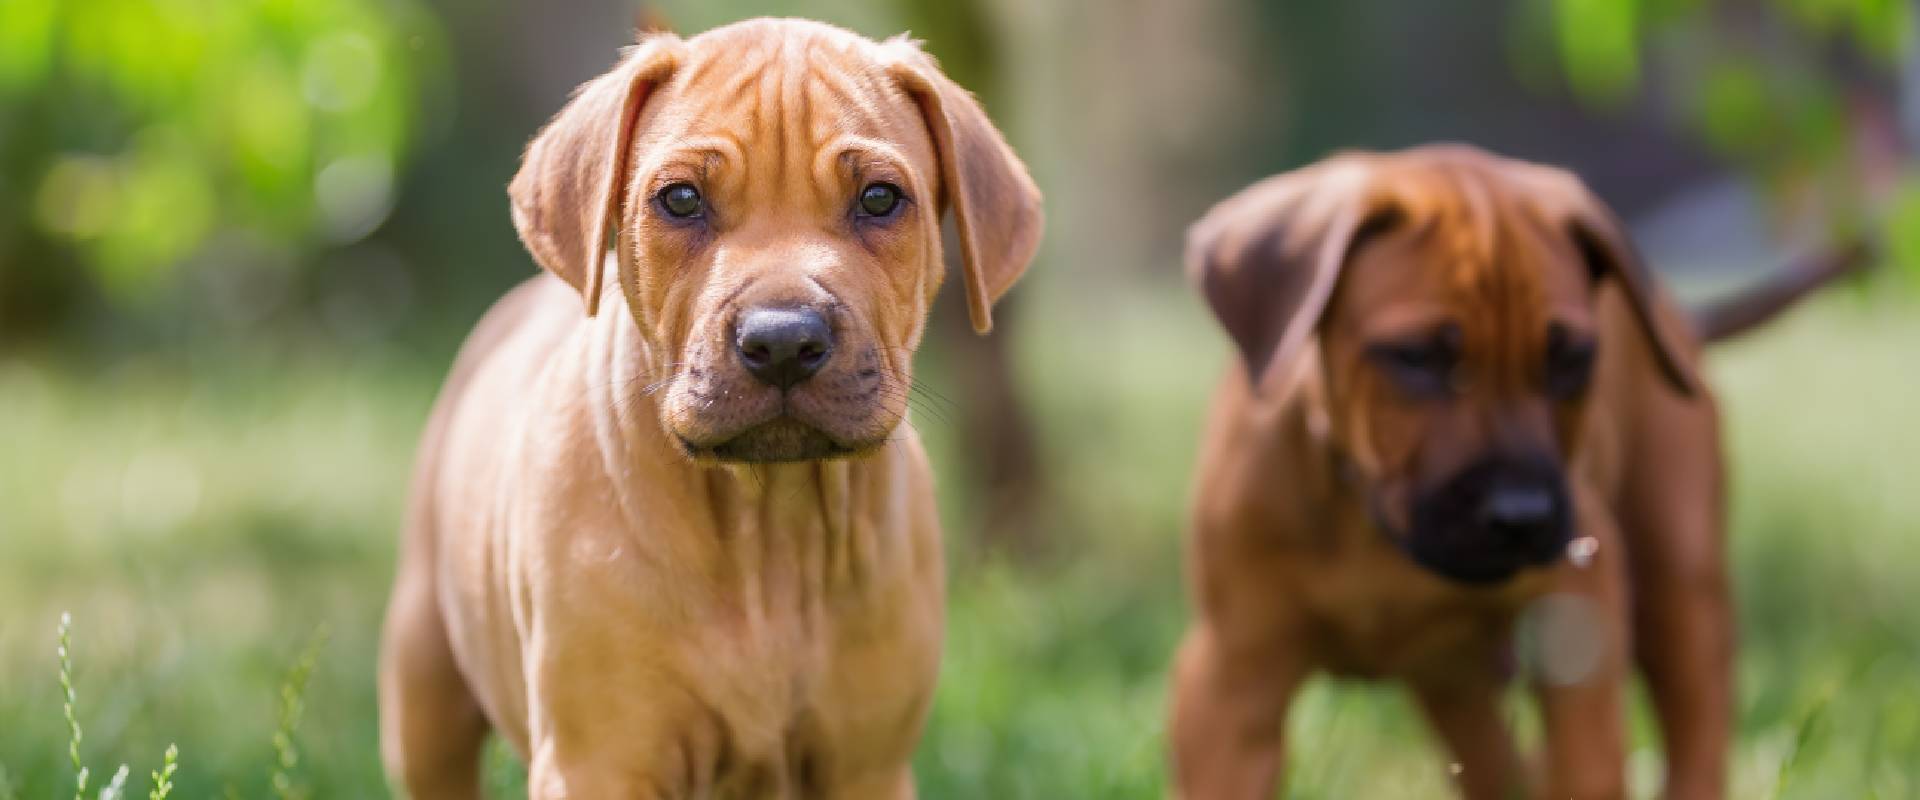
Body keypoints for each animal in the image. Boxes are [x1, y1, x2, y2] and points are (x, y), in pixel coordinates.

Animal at [372, 20, 1036, 798]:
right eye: (682, 200)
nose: (783, 342)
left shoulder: (866, 764)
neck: (769, 533)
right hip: (423, 688)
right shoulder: (599, 759)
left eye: (879, 199)